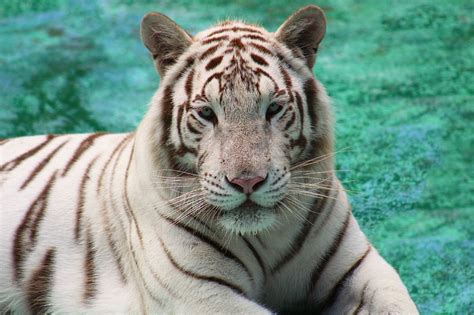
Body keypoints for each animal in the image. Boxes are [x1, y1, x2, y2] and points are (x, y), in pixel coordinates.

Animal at [0, 5, 416, 315]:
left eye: (273, 108)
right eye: (206, 113)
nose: (247, 182)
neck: (265, 238)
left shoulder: (362, 269)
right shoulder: (197, 294)